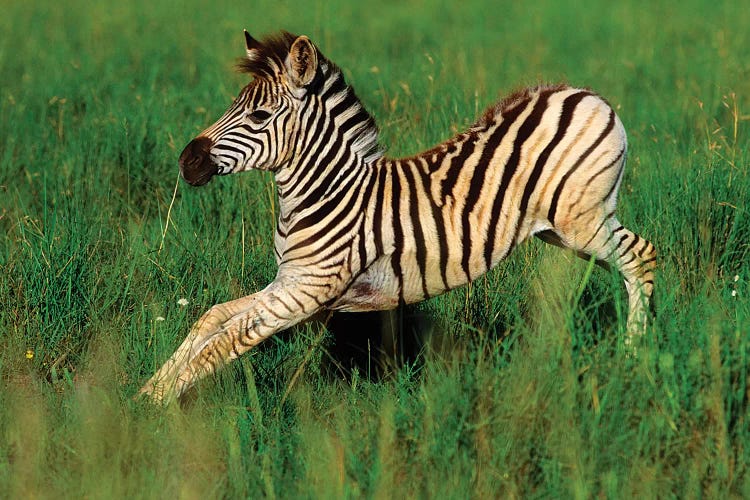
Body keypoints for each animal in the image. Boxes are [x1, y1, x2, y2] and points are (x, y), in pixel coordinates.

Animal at [138, 31, 656, 404]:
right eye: (234, 105)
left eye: (261, 115)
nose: (187, 161)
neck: (327, 192)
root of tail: (585, 94)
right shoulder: (290, 280)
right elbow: (211, 319)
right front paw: (147, 389)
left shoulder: (308, 290)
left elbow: (228, 340)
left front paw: (158, 409)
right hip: (560, 229)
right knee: (629, 265)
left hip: (582, 221)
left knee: (642, 257)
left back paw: (634, 355)